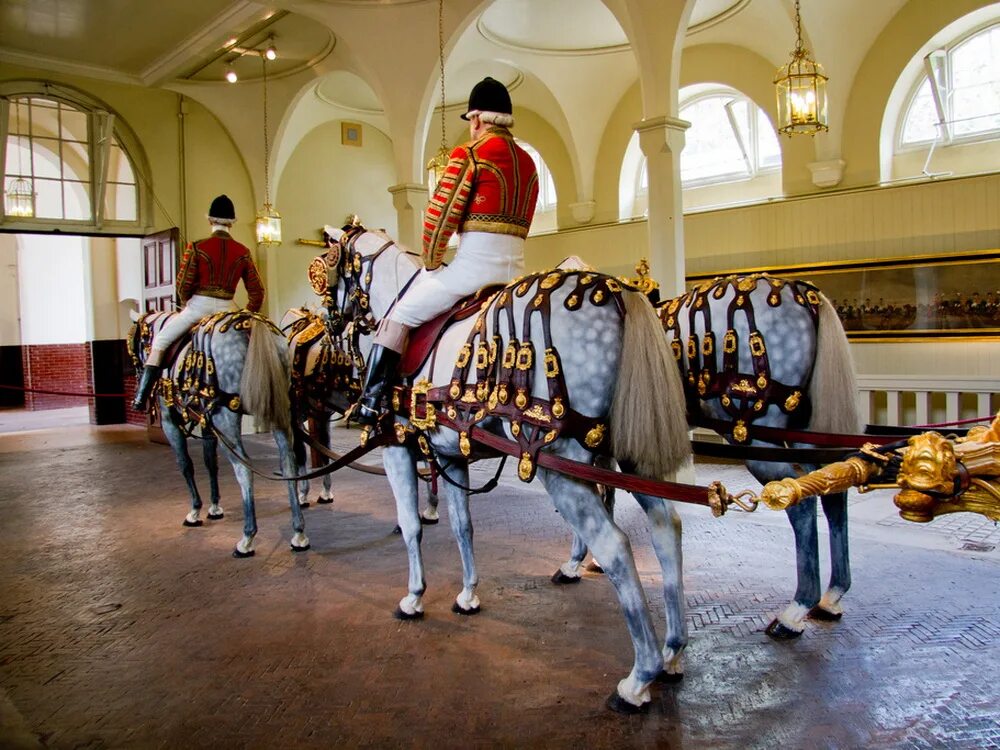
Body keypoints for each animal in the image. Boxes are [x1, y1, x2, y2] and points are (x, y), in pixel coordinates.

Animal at [328, 225, 696, 716]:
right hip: (633, 458)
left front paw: (414, 597)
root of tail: (620, 295)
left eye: (330, 265)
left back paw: (638, 679)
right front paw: (467, 595)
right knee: (666, 527)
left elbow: (411, 525)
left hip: (562, 469)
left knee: (617, 546)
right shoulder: (450, 455)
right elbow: (462, 526)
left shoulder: (395, 447)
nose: (331, 322)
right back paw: (673, 653)